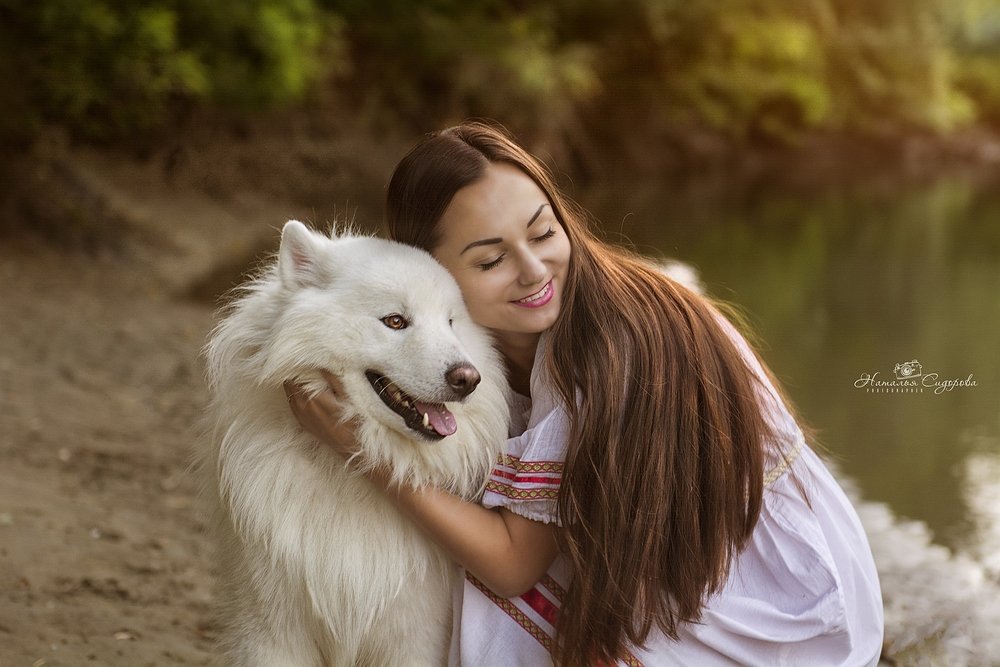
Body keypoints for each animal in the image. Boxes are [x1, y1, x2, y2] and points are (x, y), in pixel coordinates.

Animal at [198, 222, 508, 664]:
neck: (350, 469)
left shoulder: (415, 635)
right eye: (395, 321)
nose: (468, 378)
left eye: (451, 322)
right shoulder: (271, 632)